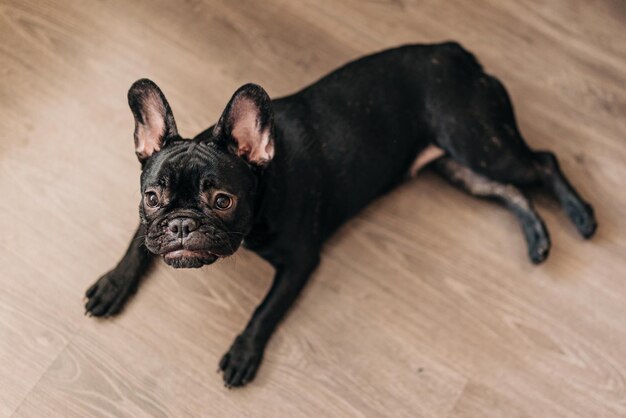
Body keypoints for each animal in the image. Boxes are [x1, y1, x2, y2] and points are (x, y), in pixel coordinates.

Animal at [84, 40, 596, 386]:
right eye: (153, 197)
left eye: (223, 201)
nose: (181, 223)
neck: (265, 184)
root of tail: (456, 53)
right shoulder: (148, 223)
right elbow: (138, 242)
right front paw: (113, 283)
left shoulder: (299, 262)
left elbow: (266, 310)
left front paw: (244, 352)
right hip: (459, 165)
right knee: (511, 191)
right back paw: (538, 238)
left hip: (477, 141)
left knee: (542, 162)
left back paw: (582, 217)